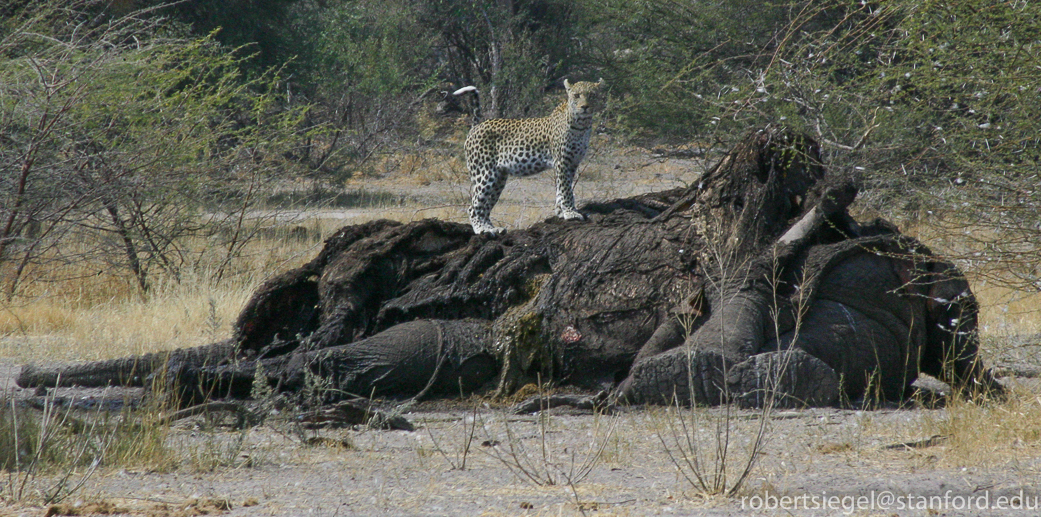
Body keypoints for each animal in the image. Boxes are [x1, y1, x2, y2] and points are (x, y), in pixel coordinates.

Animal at [463, 78, 605, 234]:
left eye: (592, 95)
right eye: (577, 95)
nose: (585, 107)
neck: (582, 125)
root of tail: (475, 127)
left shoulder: (573, 163)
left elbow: (561, 189)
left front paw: (560, 211)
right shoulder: (562, 161)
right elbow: (566, 189)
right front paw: (570, 213)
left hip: (498, 178)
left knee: (485, 207)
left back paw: (493, 228)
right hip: (485, 173)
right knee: (473, 207)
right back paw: (482, 229)